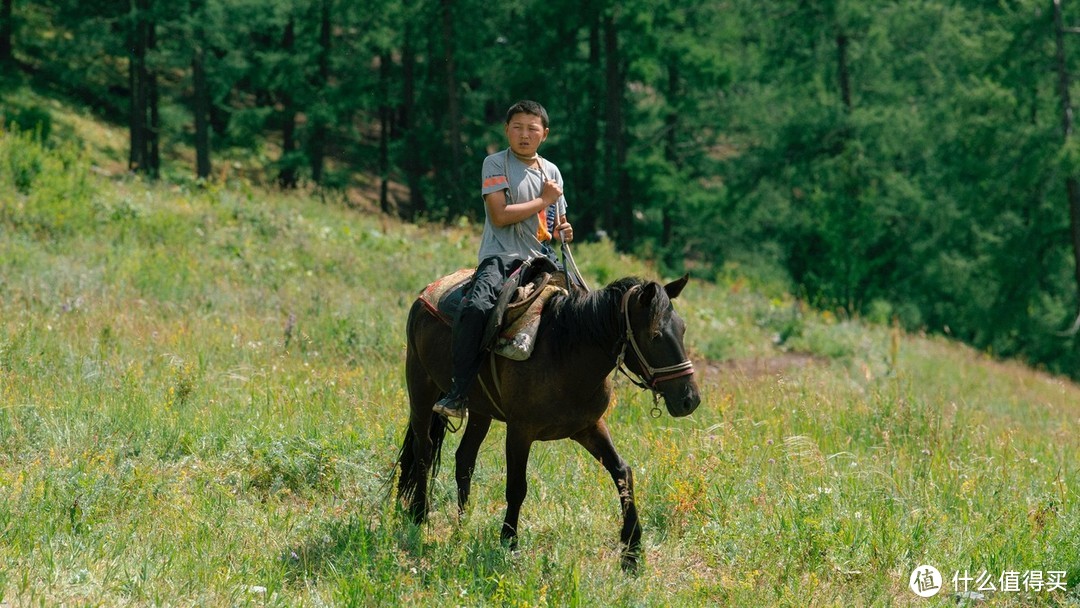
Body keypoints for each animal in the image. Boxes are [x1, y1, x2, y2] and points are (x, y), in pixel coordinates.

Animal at [397, 274, 699, 570]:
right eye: (655, 336)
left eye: (683, 329)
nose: (690, 399)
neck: (565, 353)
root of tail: (425, 293)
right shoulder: (520, 431)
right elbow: (516, 487)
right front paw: (509, 544)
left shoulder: (588, 427)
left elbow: (622, 472)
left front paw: (632, 552)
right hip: (421, 387)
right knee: (423, 449)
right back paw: (419, 514)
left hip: (480, 411)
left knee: (464, 460)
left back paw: (463, 523)